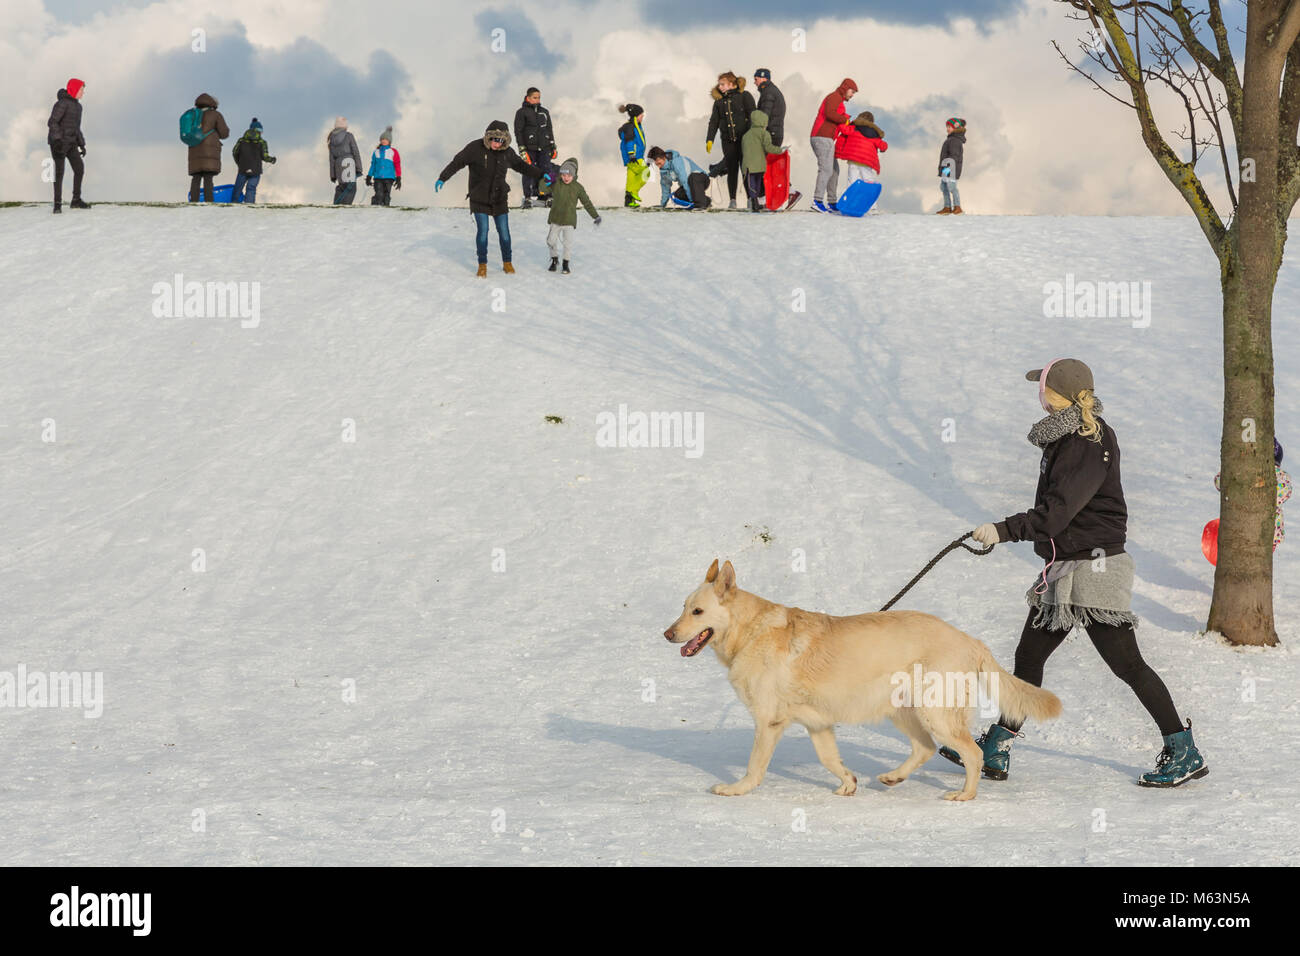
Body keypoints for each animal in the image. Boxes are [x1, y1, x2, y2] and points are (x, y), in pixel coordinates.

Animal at [665, 561, 1060, 801]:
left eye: (697, 611)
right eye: (683, 607)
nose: (667, 634)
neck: (750, 631)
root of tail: (970, 640)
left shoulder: (769, 722)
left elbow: (754, 766)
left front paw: (737, 789)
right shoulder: (818, 725)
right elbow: (830, 760)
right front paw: (848, 784)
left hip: (935, 714)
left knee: (972, 754)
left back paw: (965, 795)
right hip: (904, 712)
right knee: (924, 748)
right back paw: (893, 778)